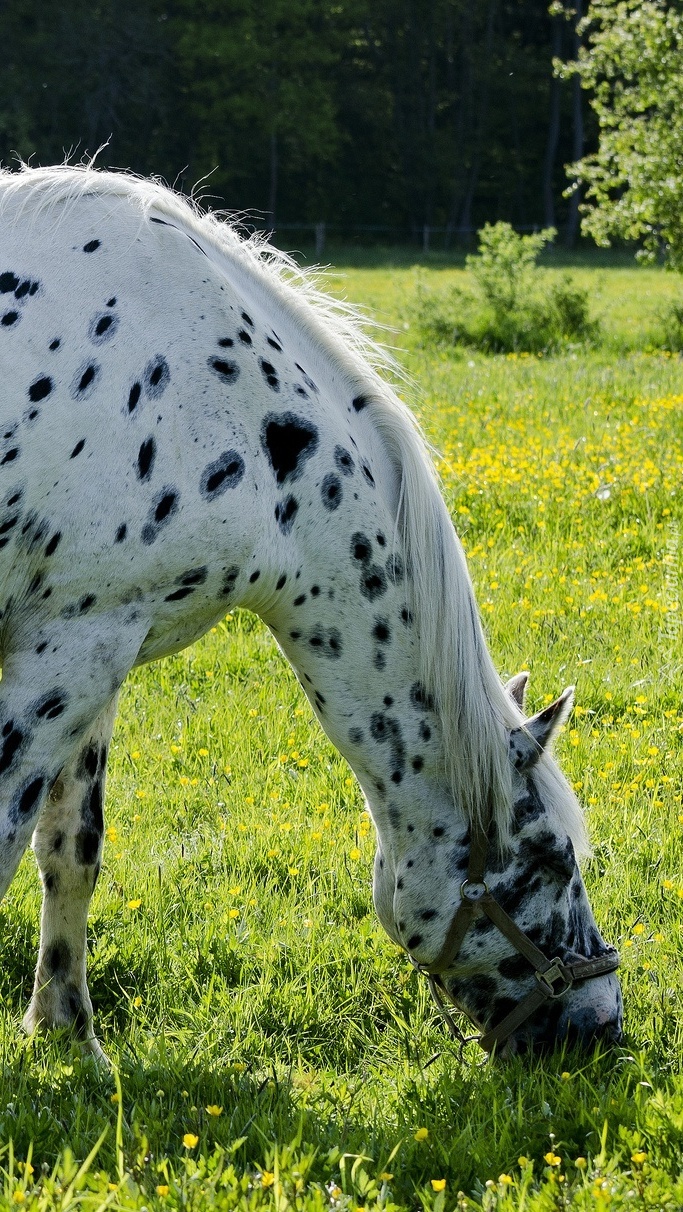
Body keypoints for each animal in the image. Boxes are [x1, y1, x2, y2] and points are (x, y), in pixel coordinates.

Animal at [0, 166, 620, 1056]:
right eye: (549, 860)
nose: (601, 1026)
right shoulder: (64, 652)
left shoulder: (99, 646)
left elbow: (70, 849)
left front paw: (68, 1037)